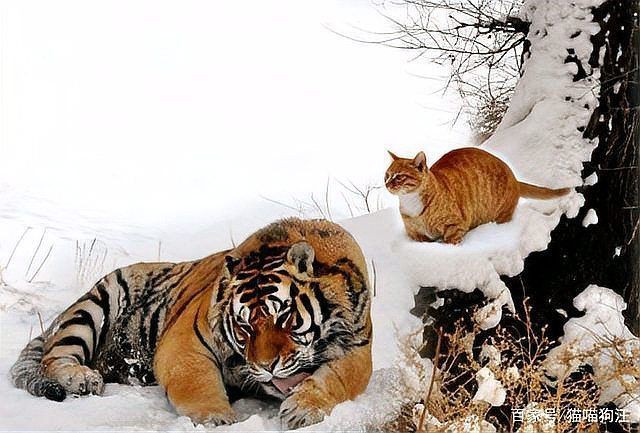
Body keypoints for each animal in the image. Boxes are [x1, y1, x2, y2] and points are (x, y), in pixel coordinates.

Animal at [10, 218, 373, 429]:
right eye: (244, 327)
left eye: (283, 317)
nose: (266, 367)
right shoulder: (185, 342)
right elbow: (195, 381)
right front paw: (217, 418)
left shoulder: (358, 346)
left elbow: (336, 378)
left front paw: (302, 409)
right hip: (97, 303)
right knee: (55, 355)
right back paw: (81, 378)